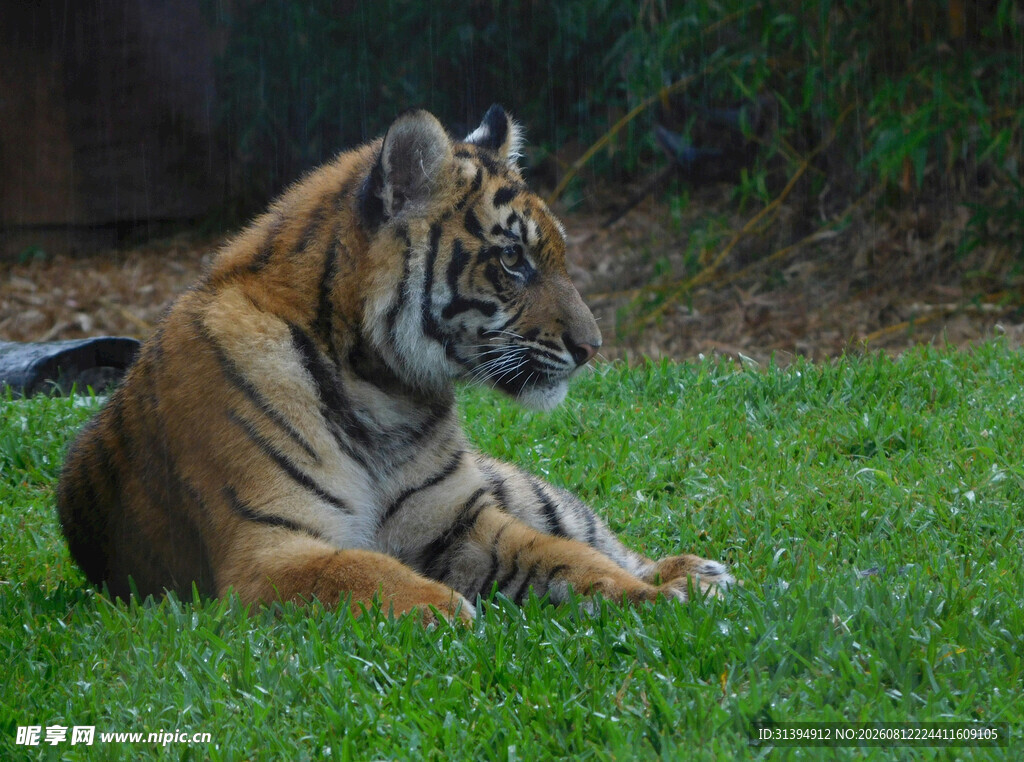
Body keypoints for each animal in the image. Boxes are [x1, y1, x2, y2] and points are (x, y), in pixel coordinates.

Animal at [56, 105, 733, 623]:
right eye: (512, 259)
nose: (592, 349)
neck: (379, 389)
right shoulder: (269, 549)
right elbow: (362, 571)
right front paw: (450, 609)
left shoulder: (460, 520)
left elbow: (568, 556)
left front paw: (656, 597)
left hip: (521, 487)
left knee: (601, 538)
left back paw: (696, 572)